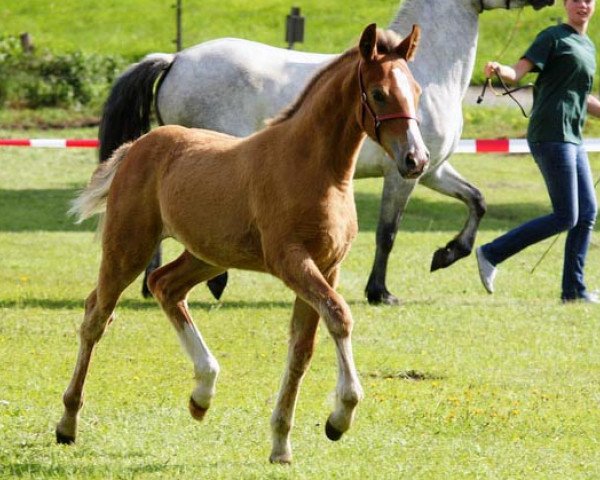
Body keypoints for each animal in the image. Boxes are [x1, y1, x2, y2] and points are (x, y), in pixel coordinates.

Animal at [56, 24, 428, 464]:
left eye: (417, 91)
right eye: (379, 93)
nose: (417, 159)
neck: (316, 171)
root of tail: (138, 146)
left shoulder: (327, 266)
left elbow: (303, 349)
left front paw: (281, 444)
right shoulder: (291, 261)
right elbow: (339, 316)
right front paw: (340, 417)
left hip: (208, 255)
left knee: (165, 285)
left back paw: (202, 394)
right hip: (128, 247)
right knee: (97, 315)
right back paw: (67, 424)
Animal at [98, 0, 552, 304]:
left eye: (414, 90)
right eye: (381, 94)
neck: (433, 74)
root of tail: (176, 58)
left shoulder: (430, 168)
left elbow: (477, 200)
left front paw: (447, 254)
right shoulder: (402, 174)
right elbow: (388, 232)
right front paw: (380, 292)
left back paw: (156, 284)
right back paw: (206, 282)